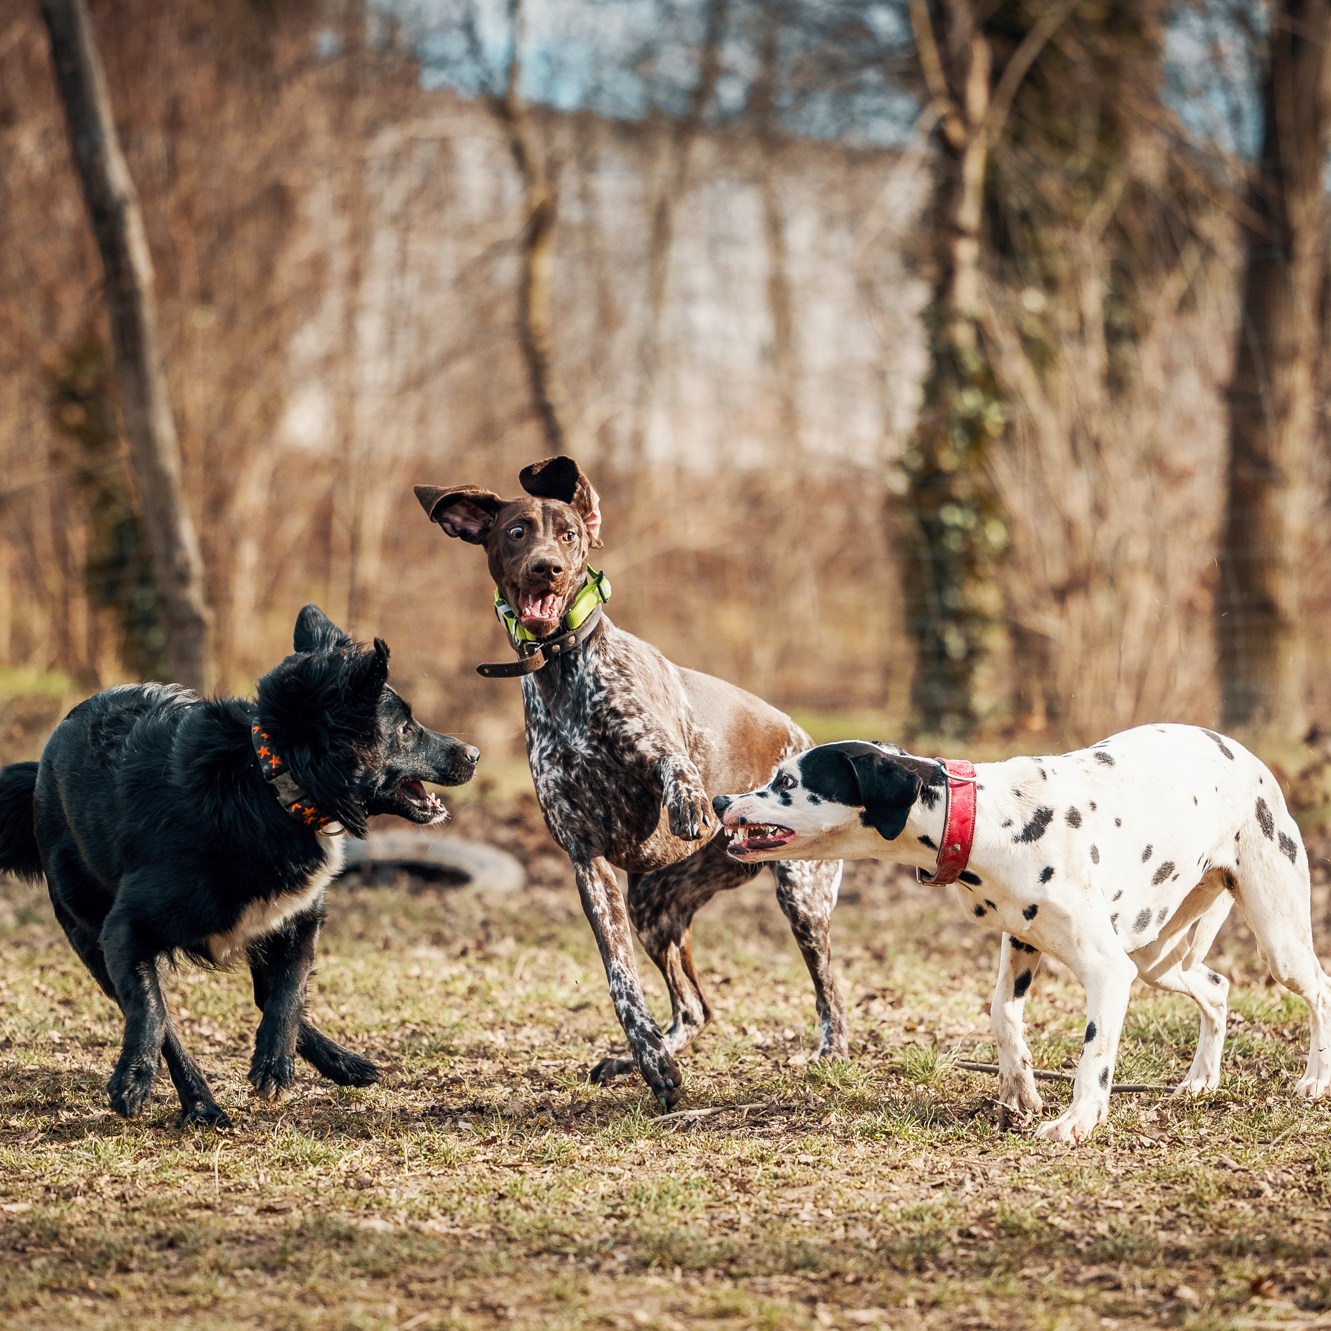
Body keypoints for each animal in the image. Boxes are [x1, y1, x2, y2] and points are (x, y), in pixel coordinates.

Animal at [0, 604, 478, 1126]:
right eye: (406, 729)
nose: (474, 754)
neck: (268, 783)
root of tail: (42, 765)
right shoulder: (123, 929)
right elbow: (151, 1010)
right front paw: (135, 1077)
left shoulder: (300, 917)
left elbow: (288, 991)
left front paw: (275, 1062)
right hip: (88, 934)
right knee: (160, 1017)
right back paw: (200, 1103)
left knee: (264, 996)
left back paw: (341, 1063)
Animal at [415, 456, 846, 1109]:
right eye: (516, 532)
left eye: (570, 534)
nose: (548, 567)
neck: (564, 669)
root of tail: (805, 738)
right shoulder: (588, 863)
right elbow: (621, 982)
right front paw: (648, 1059)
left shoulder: (658, 745)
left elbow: (674, 765)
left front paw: (688, 801)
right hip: (654, 906)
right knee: (694, 1008)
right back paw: (649, 1055)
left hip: (802, 895)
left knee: (832, 997)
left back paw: (829, 1054)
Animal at [712, 724, 1331, 1142]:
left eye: (786, 781)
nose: (720, 800)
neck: (985, 818)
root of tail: (1247, 756)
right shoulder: (1022, 943)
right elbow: (1001, 1015)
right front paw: (1020, 1088)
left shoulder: (1108, 971)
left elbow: (1094, 1055)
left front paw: (1077, 1122)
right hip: (1158, 957)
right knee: (1219, 988)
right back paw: (1202, 1079)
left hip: (1273, 941)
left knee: (1319, 988)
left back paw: (1314, 1081)